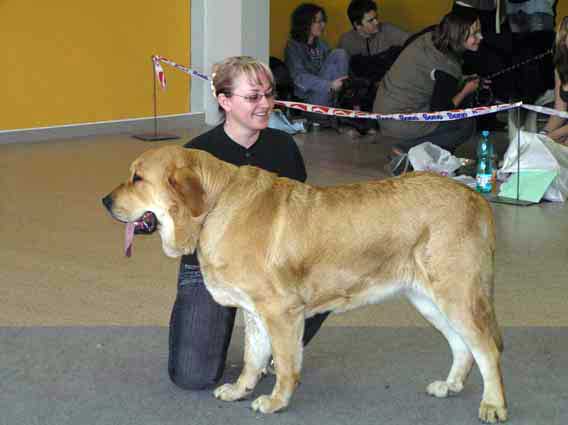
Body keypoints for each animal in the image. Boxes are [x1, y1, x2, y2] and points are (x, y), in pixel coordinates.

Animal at [103, 145, 510, 420]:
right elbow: (253, 358)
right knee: (462, 347)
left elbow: (284, 363)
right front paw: (240, 390)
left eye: (138, 178)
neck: (214, 207)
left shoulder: (281, 311)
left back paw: (493, 404)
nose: (105, 200)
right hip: (428, 299)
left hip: (457, 294)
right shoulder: (254, 312)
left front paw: (275, 401)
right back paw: (450, 385)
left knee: (487, 349)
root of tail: (475, 198)